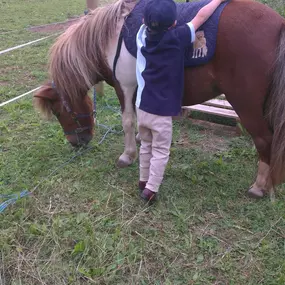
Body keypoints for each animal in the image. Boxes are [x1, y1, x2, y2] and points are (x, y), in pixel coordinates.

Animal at [34, 0, 284, 197]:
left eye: (59, 112)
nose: (76, 143)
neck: (110, 39)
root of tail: (278, 24)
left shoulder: (124, 87)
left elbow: (127, 121)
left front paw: (127, 155)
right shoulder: (138, 89)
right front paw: (138, 139)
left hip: (246, 104)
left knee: (264, 139)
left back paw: (259, 187)